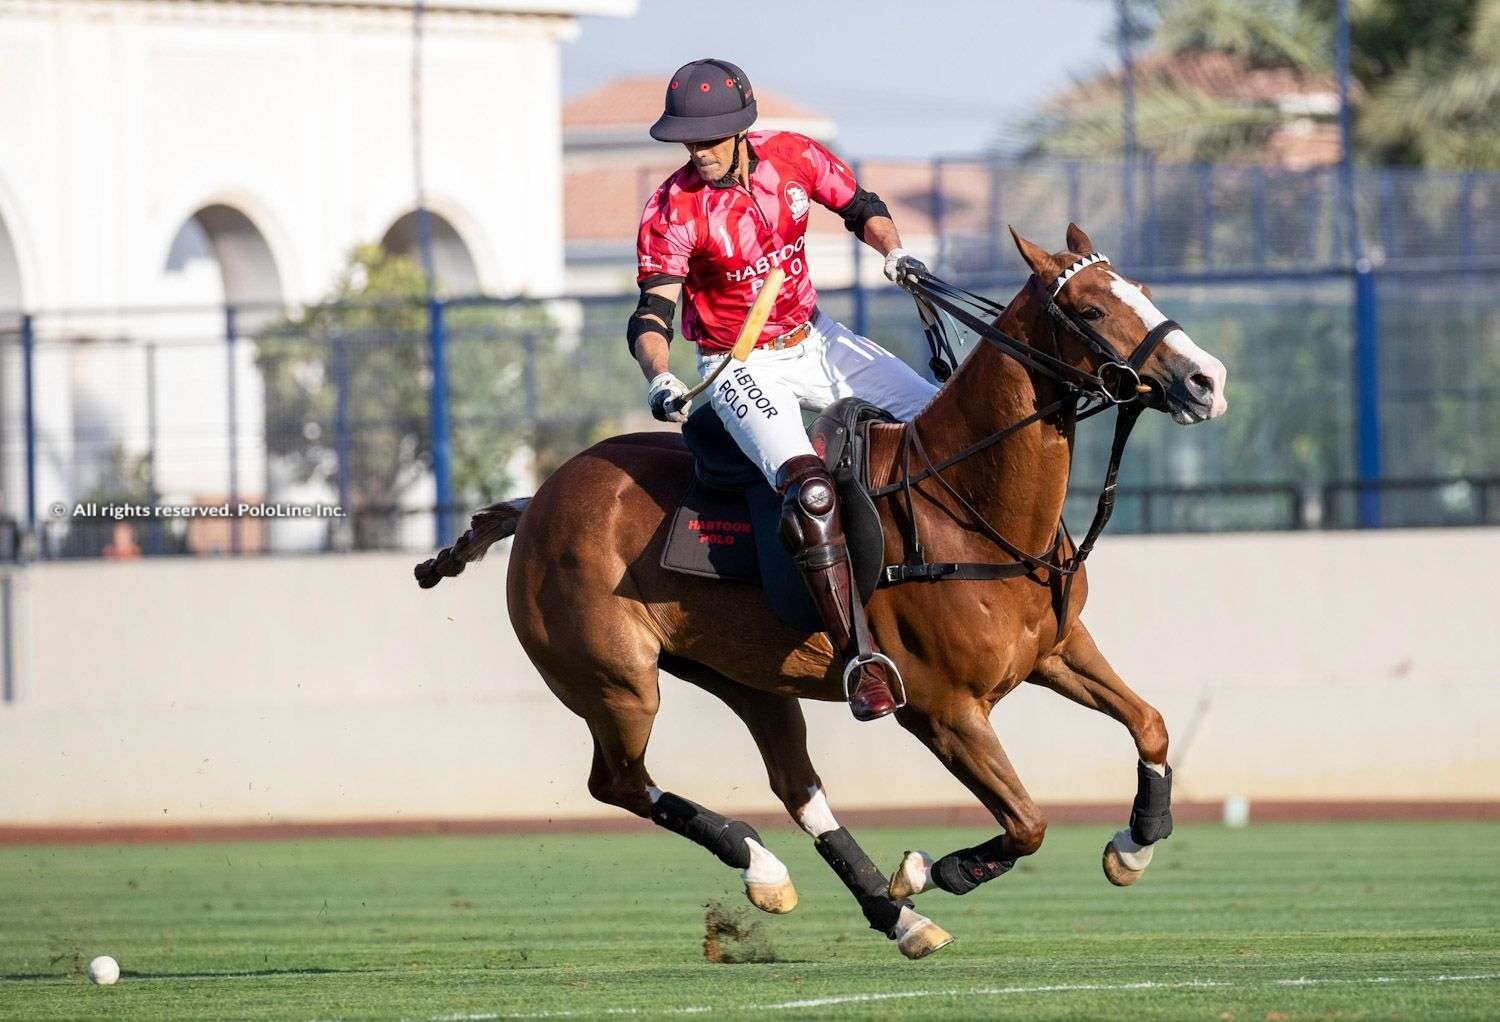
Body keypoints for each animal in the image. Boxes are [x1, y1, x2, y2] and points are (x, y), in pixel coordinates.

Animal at [417, 225, 1224, 954]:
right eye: (1089, 309)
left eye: (1140, 289)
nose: (1206, 380)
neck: (969, 505)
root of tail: (537, 502)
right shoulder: (943, 710)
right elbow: (1028, 822)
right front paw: (930, 869)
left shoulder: (1057, 650)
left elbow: (1150, 723)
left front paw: (1135, 845)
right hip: (617, 682)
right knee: (617, 783)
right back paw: (771, 866)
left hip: (746, 679)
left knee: (796, 787)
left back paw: (884, 914)